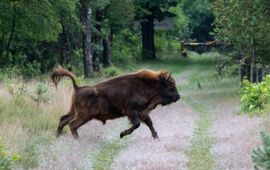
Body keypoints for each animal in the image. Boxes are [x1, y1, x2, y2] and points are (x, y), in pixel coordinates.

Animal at [51, 64, 180, 139]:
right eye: (170, 86)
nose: (178, 97)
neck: (146, 85)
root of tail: (78, 87)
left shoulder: (142, 113)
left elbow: (149, 123)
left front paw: (156, 136)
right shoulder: (131, 111)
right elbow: (137, 124)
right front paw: (122, 134)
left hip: (74, 111)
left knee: (63, 120)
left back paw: (58, 136)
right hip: (84, 115)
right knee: (72, 124)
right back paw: (77, 139)